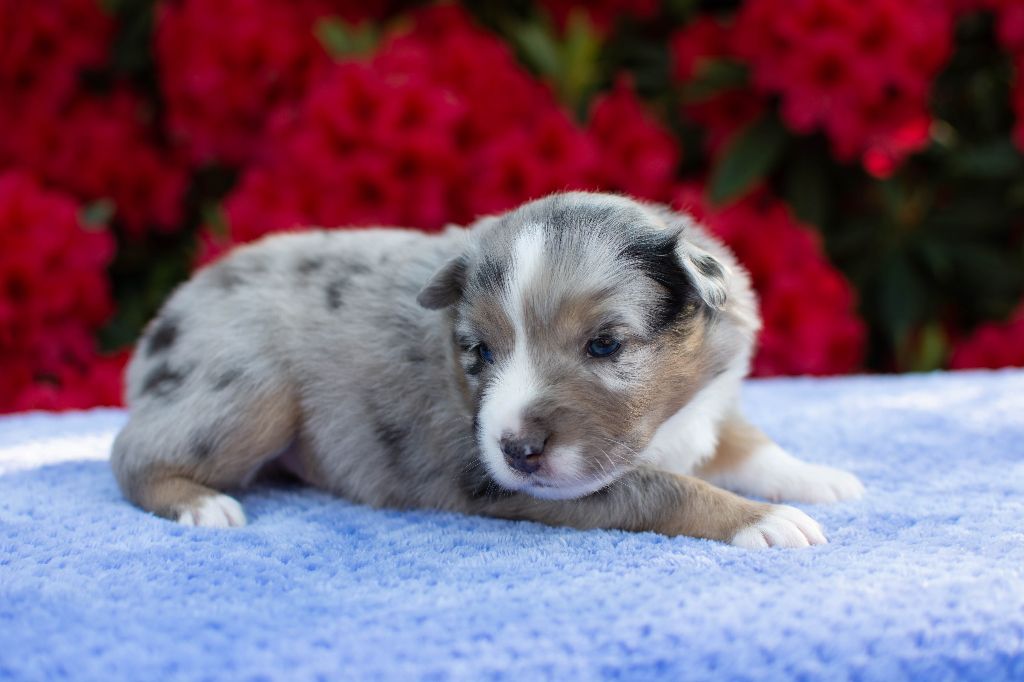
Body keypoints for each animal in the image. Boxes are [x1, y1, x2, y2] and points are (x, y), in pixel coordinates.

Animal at [111, 192, 863, 548]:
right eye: (480, 353)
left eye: (605, 345)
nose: (517, 449)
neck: (661, 426)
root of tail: (175, 305)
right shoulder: (510, 482)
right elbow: (662, 488)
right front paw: (765, 521)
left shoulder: (707, 400)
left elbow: (745, 441)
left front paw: (821, 478)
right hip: (247, 388)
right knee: (129, 454)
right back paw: (202, 504)